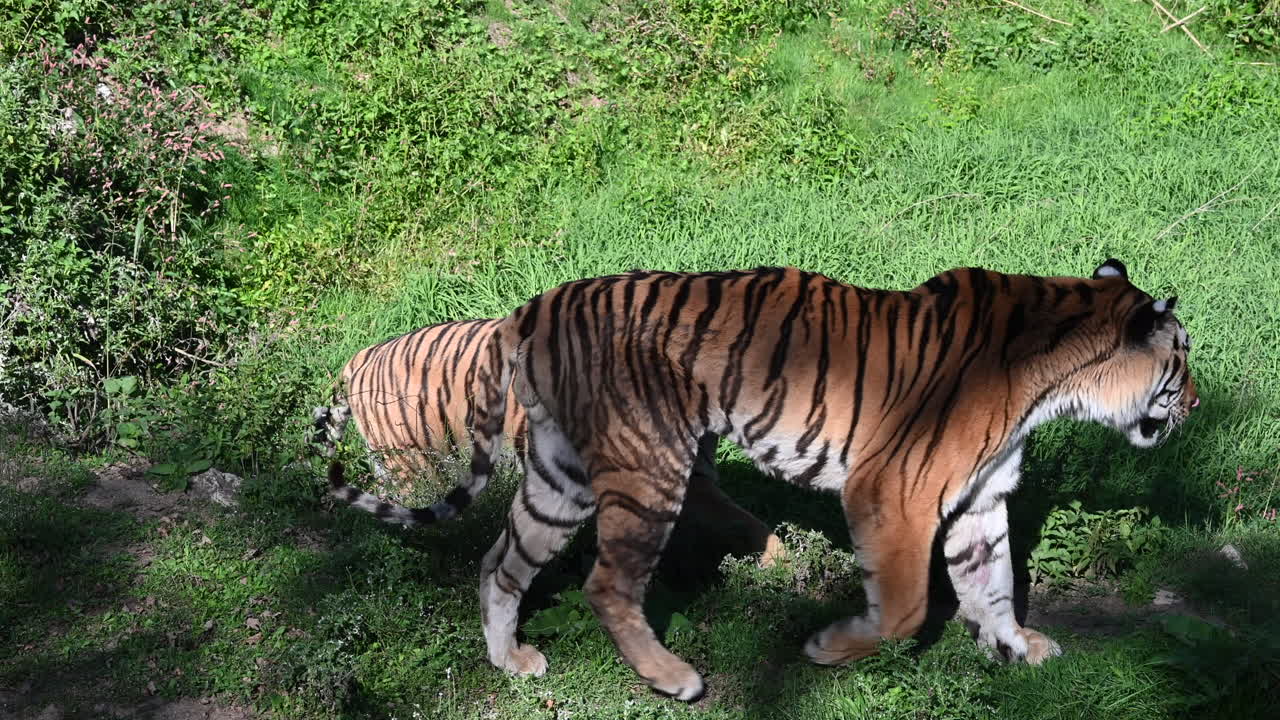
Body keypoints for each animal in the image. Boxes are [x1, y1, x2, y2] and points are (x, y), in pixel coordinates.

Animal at [436, 259, 1197, 701]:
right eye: (1182, 360)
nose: (1193, 404)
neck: (1058, 382)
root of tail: (531, 308)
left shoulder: (982, 499)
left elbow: (994, 583)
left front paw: (1015, 646)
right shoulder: (893, 493)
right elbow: (905, 608)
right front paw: (829, 647)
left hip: (562, 477)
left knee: (500, 563)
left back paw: (510, 659)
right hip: (647, 463)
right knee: (606, 583)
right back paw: (674, 678)